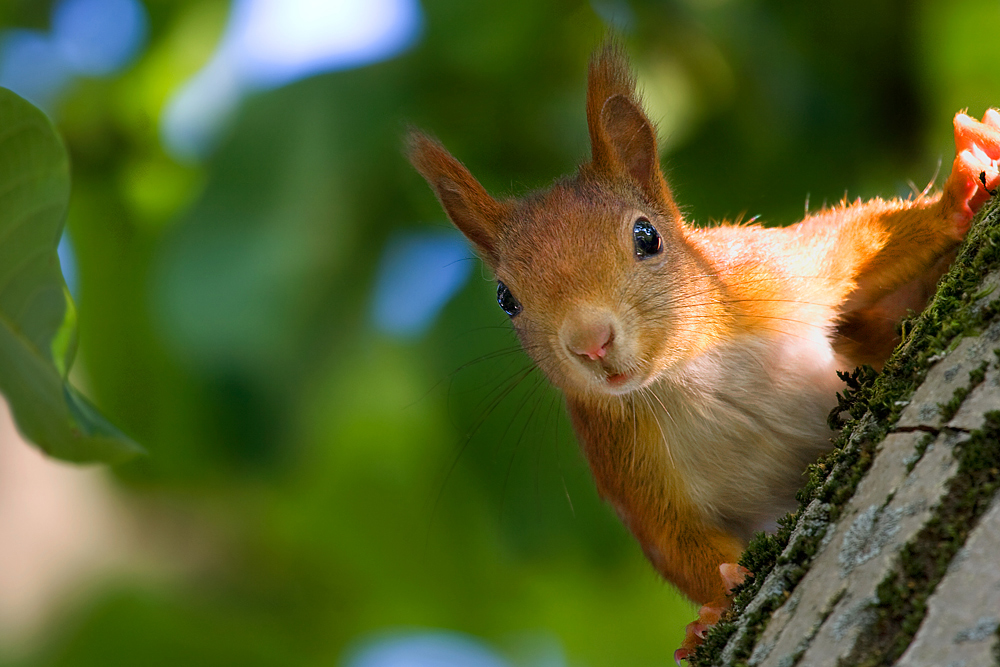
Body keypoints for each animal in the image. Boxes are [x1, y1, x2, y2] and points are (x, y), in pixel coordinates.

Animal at [406, 41, 1000, 664]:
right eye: (505, 298)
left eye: (647, 237)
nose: (590, 341)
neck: (688, 373)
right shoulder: (622, 456)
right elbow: (672, 538)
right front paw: (716, 603)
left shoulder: (765, 276)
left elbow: (852, 245)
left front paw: (960, 188)